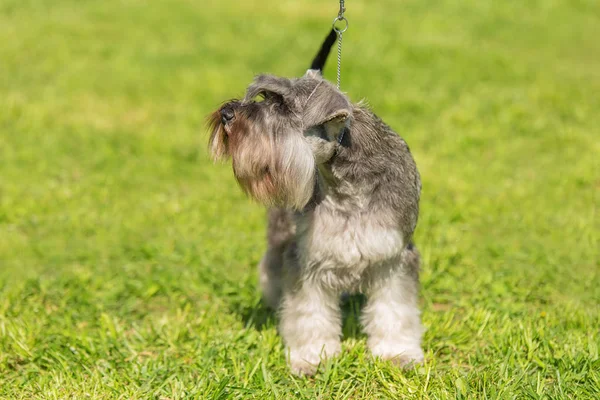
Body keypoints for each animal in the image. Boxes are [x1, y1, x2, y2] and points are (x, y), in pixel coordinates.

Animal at [209, 36, 424, 376]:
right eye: (264, 96)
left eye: (283, 107)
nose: (227, 113)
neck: (346, 186)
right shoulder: (307, 261)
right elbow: (308, 312)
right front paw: (313, 356)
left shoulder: (394, 258)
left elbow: (395, 309)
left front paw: (397, 353)